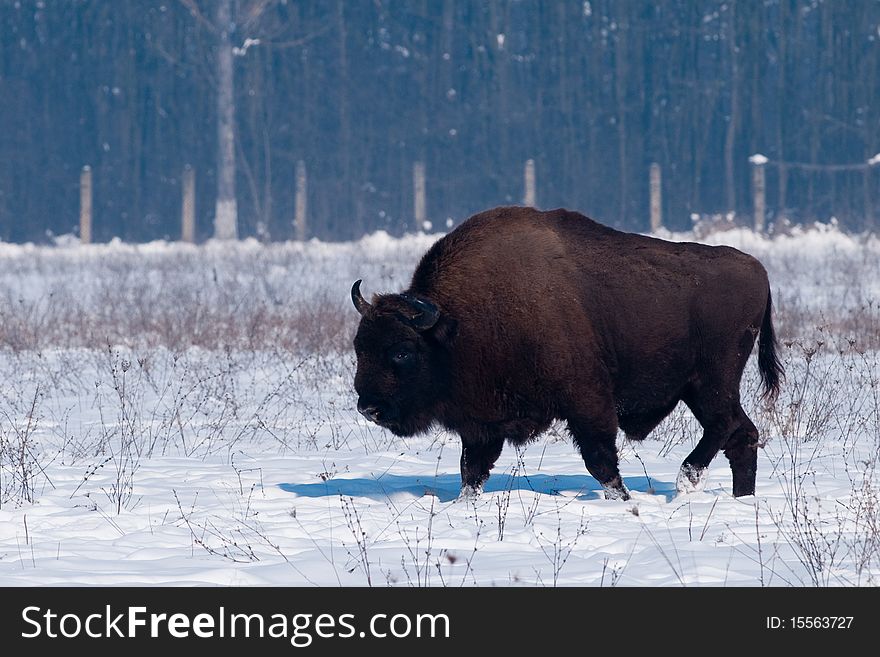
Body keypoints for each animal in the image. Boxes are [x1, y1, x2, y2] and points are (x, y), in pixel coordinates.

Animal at [348, 208, 780, 500]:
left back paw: (686, 480)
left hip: (712, 380)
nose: (368, 407)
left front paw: (624, 500)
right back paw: (741, 498)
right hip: (699, 389)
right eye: (359, 347)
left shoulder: (587, 402)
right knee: (742, 434)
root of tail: (759, 270)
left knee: (725, 425)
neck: (454, 324)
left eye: (402, 352)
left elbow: (600, 460)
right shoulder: (482, 423)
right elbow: (472, 470)